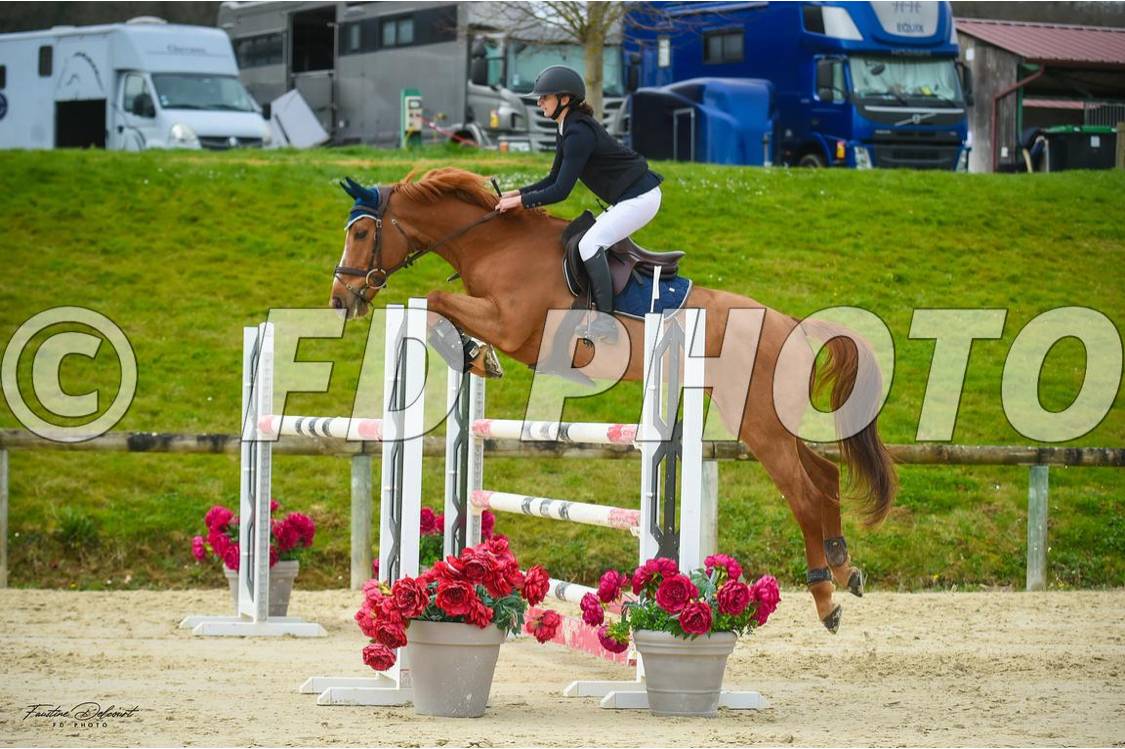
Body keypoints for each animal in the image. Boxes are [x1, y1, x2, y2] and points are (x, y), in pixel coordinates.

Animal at [329, 167, 897, 632]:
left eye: (361, 233)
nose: (341, 299)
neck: (495, 245)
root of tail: (792, 324)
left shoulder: (514, 328)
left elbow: (437, 302)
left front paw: (475, 354)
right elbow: (441, 308)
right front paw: (474, 356)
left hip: (756, 420)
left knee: (803, 493)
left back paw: (826, 598)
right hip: (768, 420)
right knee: (824, 476)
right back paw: (846, 569)